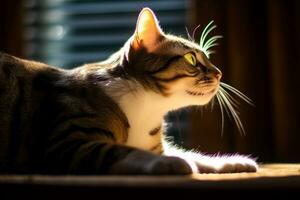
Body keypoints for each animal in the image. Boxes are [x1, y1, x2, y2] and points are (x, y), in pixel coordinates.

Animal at [0, 7, 258, 173]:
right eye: (192, 59)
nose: (219, 73)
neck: (148, 106)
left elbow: (188, 152)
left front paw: (235, 162)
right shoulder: (65, 143)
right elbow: (124, 151)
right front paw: (171, 164)